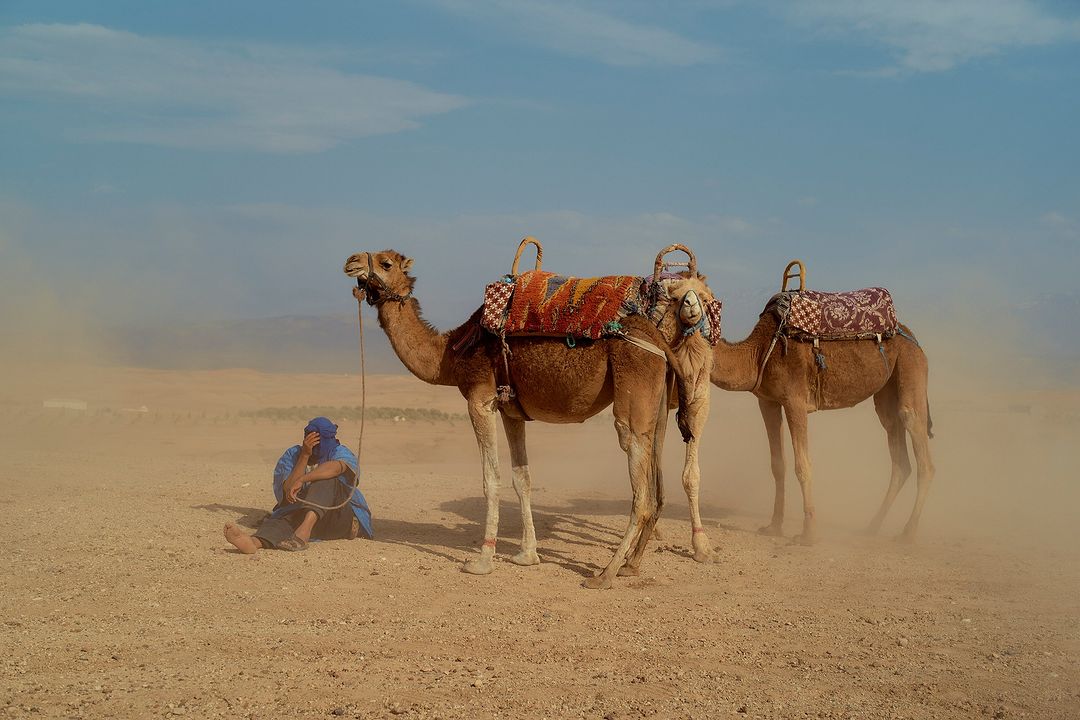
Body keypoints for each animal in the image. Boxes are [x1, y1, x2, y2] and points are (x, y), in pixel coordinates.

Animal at [343, 244, 700, 588]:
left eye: (386, 263)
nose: (351, 261)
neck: (450, 354)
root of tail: (657, 339)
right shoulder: (511, 411)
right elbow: (522, 478)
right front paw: (527, 555)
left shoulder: (480, 400)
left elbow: (491, 478)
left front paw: (482, 561)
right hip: (657, 407)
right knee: (655, 478)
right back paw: (630, 565)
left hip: (633, 392)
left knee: (640, 489)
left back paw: (604, 574)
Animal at [708, 261, 934, 544]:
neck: (759, 351)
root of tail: (912, 337)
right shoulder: (768, 402)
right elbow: (778, 465)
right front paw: (774, 526)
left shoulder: (795, 401)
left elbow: (802, 466)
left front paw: (809, 534)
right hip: (887, 393)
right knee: (899, 454)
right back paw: (872, 527)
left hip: (910, 367)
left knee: (919, 445)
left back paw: (908, 533)